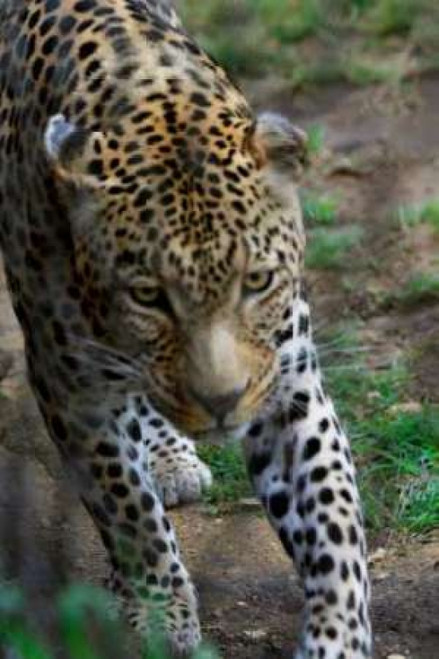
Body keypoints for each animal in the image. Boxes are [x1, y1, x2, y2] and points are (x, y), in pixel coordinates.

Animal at [0, 0, 372, 657]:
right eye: (148, 296)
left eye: (257, 281)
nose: (223, 403)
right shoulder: (67, 382)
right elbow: (125, 504)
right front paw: (159, 610)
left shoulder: (287, 385)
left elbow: (332, 516)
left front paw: (337, 637)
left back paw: (172, 456)